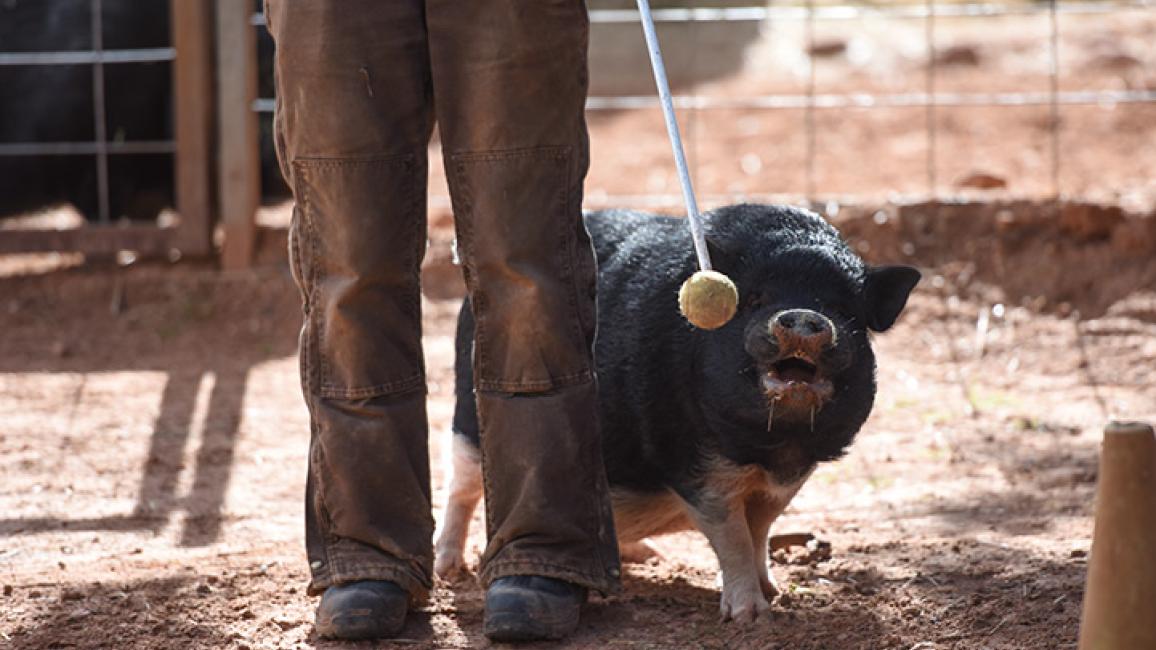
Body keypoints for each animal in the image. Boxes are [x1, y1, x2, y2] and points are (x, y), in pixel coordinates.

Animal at [435, 204, 920, 622]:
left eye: (842, 309)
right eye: (754, 300)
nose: (801, 315)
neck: (770, 450)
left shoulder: (784, 482)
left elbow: (760, 531)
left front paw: (774, 593)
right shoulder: (695, 464)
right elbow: (733, 537)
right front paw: (749, 618)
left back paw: (647, 557)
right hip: (469, 416)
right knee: (461, 486)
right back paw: (449, 569)